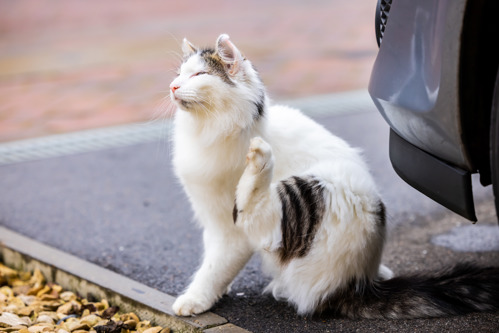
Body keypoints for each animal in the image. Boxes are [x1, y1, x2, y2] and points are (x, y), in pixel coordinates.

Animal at [169, 34, 499, 320]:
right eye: (180, 74)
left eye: (199, 75)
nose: (172, 87)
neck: (208, 132)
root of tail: (359, 283)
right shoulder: (212, 219)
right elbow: (215, 264)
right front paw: (215, 293)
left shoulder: (230, 230)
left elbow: (214, 267)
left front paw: (195, 299)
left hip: (312, 186)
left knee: (258, 212)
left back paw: (261, 158)